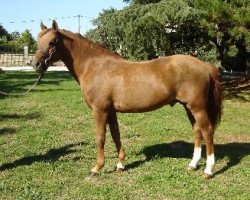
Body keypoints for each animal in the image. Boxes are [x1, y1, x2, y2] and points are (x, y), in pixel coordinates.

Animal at [32, 21, 222, 179]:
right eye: (38, 41)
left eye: (52, 42)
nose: (36, 64)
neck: (94, 67)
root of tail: (204, 64)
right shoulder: (111, 111)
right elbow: (116, 135)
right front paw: (120, 164)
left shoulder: (100, 110)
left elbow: (100, 137)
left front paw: (96, 168)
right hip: (189, 107)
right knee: (197, 131)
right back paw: (193, 165)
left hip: (198, 108)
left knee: (207, 131)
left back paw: (208, 170)